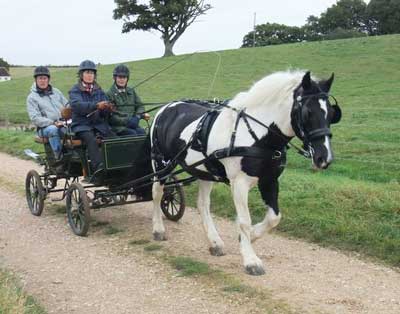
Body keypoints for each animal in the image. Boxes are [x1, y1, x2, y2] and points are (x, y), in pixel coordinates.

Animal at [148, 70, 342, 274]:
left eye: (332, 113)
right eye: (307, 112)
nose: (324, 158)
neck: (257, 136)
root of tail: (166, 107)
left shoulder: (270, 180)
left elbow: (274, 217)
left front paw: (251, 236)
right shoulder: (239, 183)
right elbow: (244, 220)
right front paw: (250, 259)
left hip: (204, 170)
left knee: (203, 204)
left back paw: (215, 242)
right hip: (161, 163)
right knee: (157, 193)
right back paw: (158, 229)